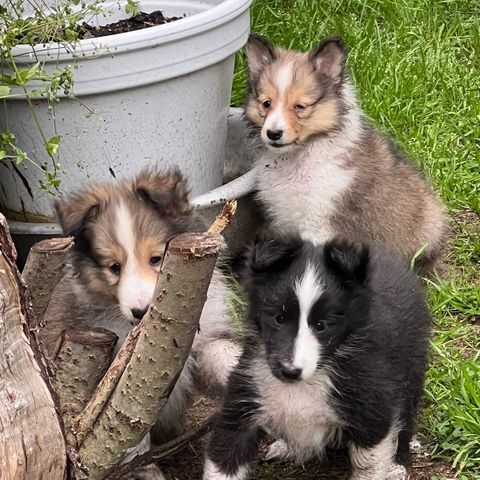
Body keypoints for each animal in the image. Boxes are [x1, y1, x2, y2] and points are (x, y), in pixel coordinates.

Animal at [42, 171, 240, 478]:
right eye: (114, 267)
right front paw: (146, 470)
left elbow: (223, 354)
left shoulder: (204, 339)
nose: (141, 311)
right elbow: (128, 436)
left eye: (157, 258)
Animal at [202, 236, 432, 480]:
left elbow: (368, 465)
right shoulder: (243, 401)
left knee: (406, 418)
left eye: (321, 325)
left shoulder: (372, 406)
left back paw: (397, 465)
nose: (290, 371)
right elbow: (224, 457)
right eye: (279, 318)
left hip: (412, 368)